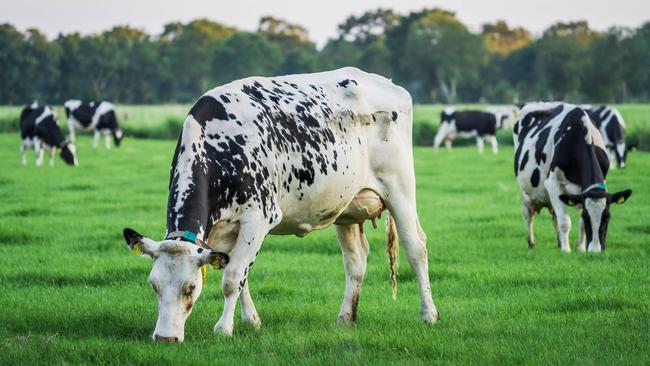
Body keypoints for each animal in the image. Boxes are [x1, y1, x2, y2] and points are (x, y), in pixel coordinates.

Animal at [119, 66, 438, 344]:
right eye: (153, 284)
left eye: (191, 288)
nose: (165, 338)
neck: (221, 145)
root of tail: (387, 83)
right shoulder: (223, 231)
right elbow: (240, 274)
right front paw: (251, 321)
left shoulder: (259, 217)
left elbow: (233, 278)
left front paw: (224, 329)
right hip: (346, 206)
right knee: (356, 260)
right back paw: (346, 318)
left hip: (399, 187)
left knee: (416, 247)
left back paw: (429, 314)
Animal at [512, 101, 628, 253]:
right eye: (587, 216)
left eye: (607, 217)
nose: (596, 251)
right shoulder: (553, 183)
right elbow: (565, 221)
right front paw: (566, 250)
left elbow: (577, 223)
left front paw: (580, 248)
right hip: (525, 190)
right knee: (528, 214)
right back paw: (531, 242)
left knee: (554, 215)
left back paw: (559, 242)